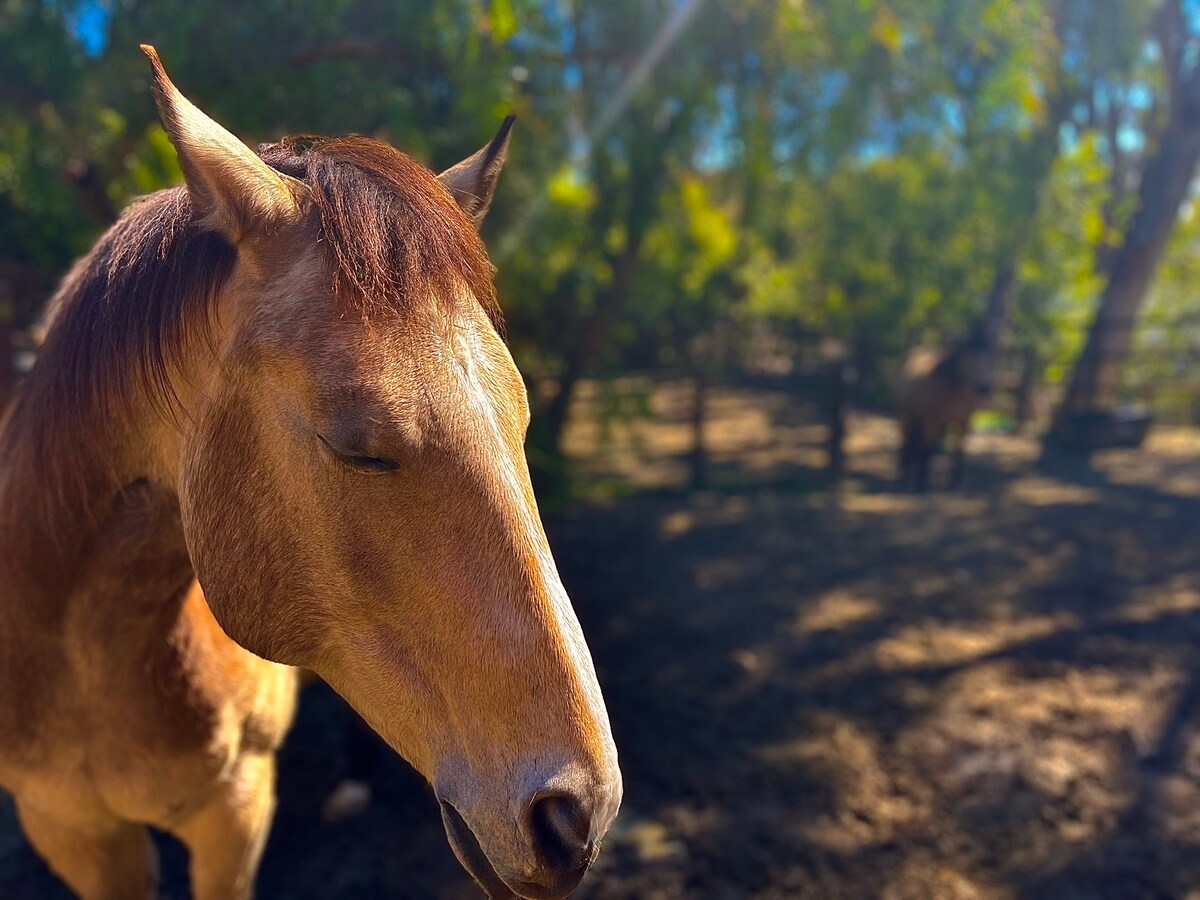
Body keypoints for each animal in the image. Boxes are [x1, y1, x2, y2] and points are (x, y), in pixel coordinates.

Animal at [0, 49, 619, 900]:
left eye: (520, 420)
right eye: (359, 446)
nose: (578, 813)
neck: (84, 653)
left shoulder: (234, 815)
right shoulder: (75, 835)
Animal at [897, 336, 988, 494]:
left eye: (991, 356)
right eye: (970, 358)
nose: (984, 388)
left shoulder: (962, 424)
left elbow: (958, 451)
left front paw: (954, 483)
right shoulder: (931, 422)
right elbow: (926, 450)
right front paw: (921, 484)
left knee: (916, 446)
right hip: (907, 418)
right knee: (908, 443)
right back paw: (904, 476)